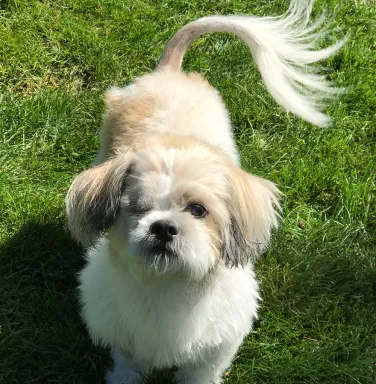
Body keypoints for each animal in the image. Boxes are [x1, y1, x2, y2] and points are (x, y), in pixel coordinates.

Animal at [65, 1, 344, 382]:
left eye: (198, 210)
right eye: (136, 209)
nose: (163, 226)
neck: (168, 288)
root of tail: (169, 72)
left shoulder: (214, 349)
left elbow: (201, 372)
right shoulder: (125, 341)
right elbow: (127, 366)